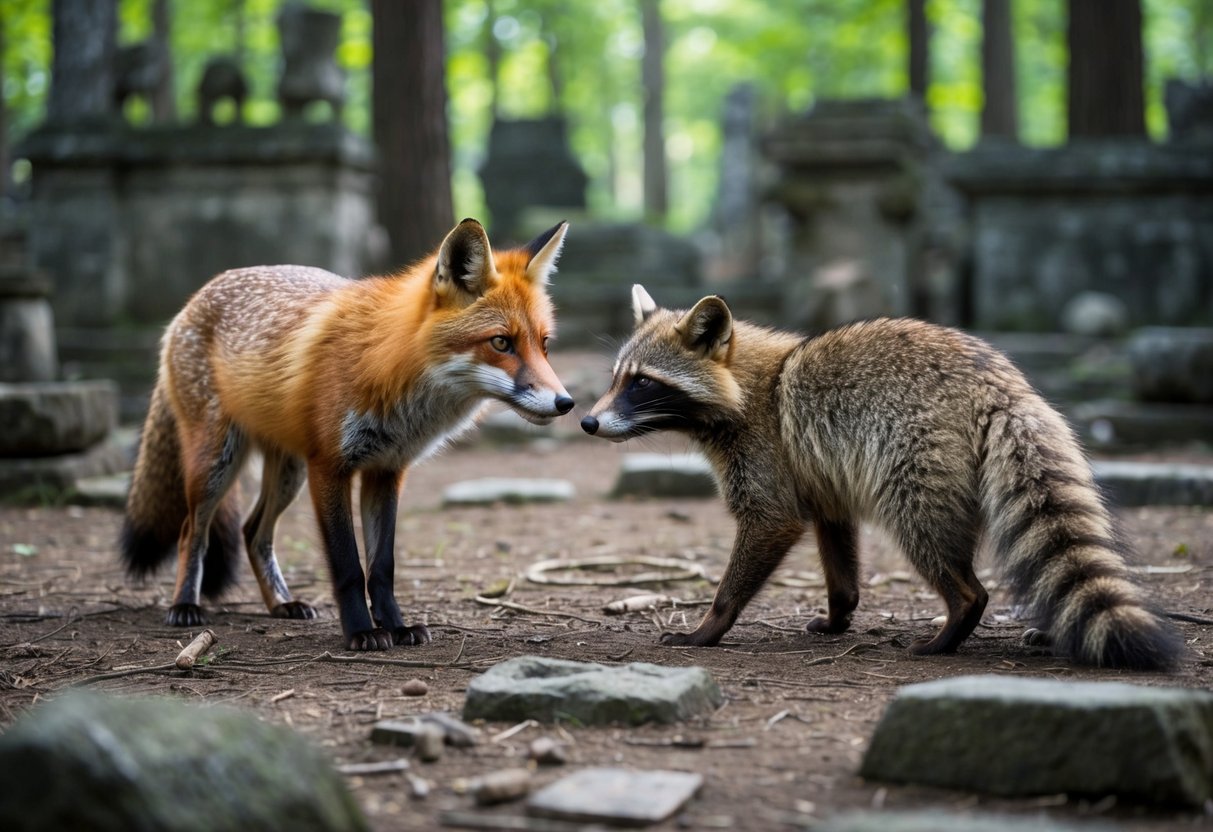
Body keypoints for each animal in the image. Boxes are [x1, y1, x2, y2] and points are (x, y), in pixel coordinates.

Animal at [121, 218, 574, 651]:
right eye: (501, 342)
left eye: (544, 345)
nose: (565, 403)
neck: (392, 370)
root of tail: (195, 297)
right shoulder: (329, 467)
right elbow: (348, 567)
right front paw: (361, 632)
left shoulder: (386, 471)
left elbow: (382, 567)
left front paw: (397, 627)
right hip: (217, 464)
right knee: (190, 534)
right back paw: (185, 605)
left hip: (287, 474)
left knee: (253, 532)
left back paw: (282, 603)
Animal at [581, 285, 1182, 670]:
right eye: (615, 379)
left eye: (642, 383)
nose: (586, 421)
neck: (749, 384)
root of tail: (1003, 388)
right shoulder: (820, 476)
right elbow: (836, 543)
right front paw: (840, 610)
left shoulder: (767, 457)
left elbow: (770, 523)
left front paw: (712, 623)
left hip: (913, 468)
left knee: (941, 554)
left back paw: (956, 619)